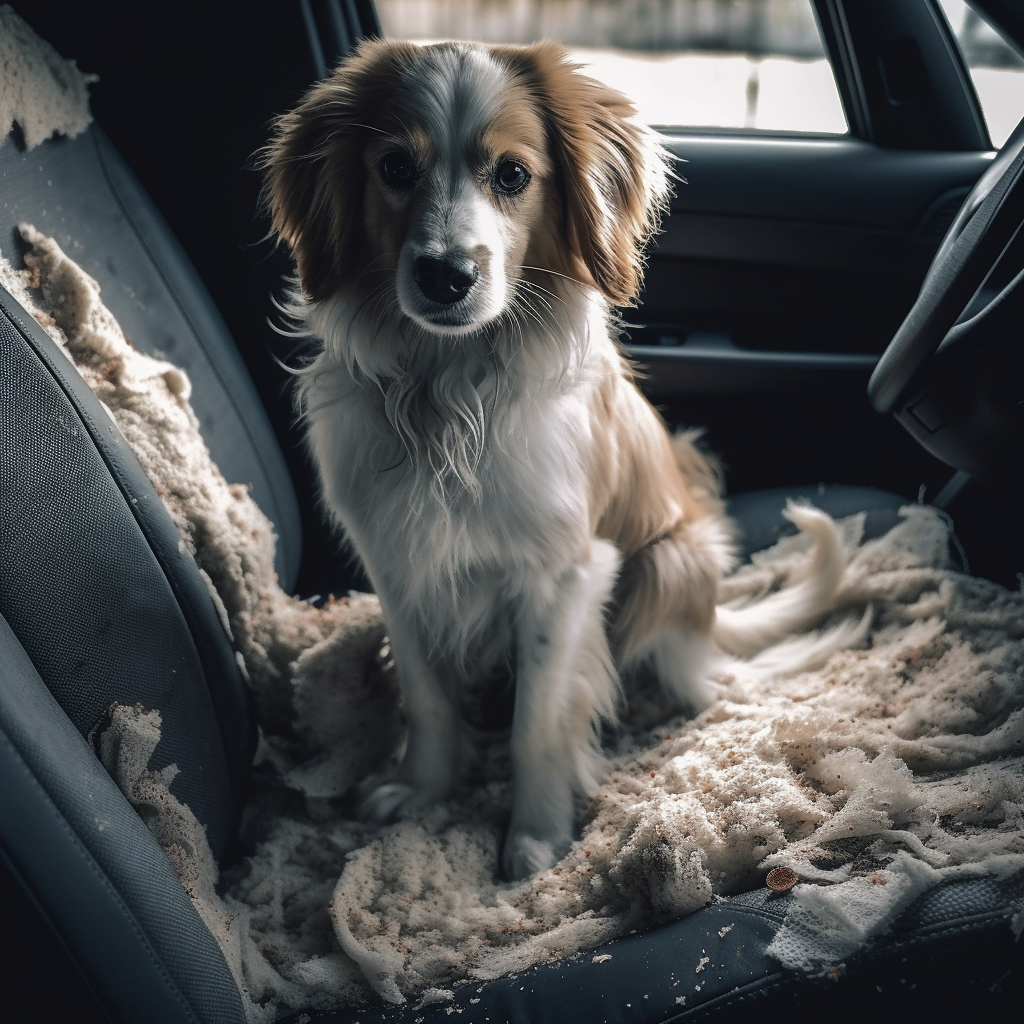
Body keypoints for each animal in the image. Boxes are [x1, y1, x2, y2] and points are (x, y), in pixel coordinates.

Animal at [264, 39, 856, 880]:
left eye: (512, 174)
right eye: (394, 167)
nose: (446, 274)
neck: (447, 397)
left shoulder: (564, 575)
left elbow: (536, 723)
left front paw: (536, 835)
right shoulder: (400, 570)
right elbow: (428, 699)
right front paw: (423, 789)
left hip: (667, 563)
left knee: (689, 673)